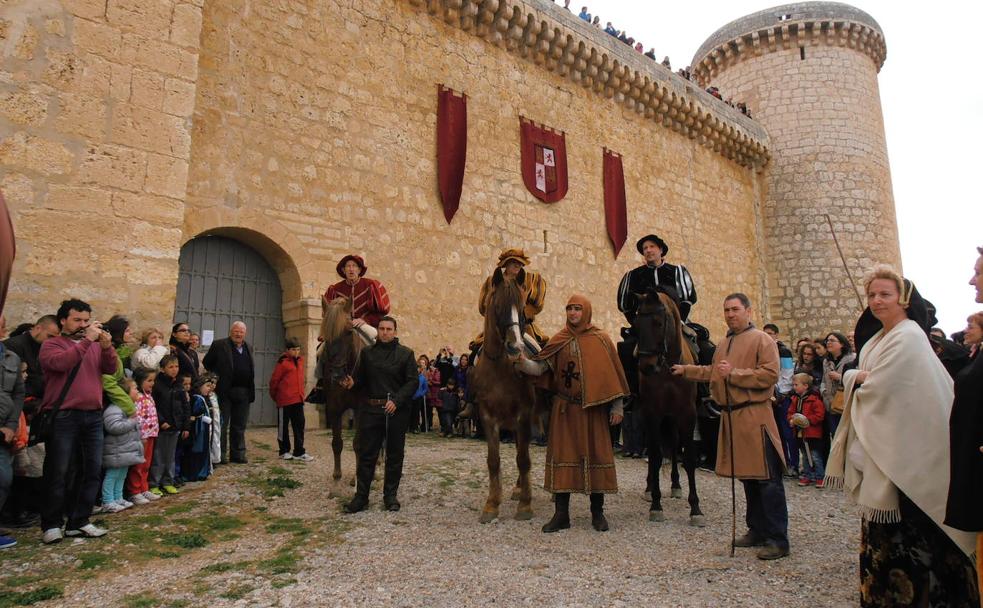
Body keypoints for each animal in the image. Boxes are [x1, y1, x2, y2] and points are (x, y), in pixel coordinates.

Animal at [318, 296, 374, 494]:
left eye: (349, 332)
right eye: (325, 335)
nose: (337, 375)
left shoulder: (361, 410)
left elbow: (358, 445)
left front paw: (357, 479)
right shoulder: (334, 408)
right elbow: (337, 443)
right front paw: (336, 478)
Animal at [470, 268, 540, 524]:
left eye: (522, 308)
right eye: (497, 306)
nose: (515, 347)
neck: (500, 367)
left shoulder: (524, 415)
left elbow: (523, 459)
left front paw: (526, 506)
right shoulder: (487, 417)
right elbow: (494, 460)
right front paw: (491, 505)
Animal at [636, 290, 704, 528]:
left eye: (658, 322)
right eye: (636, 323)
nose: (647, 366)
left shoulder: (687, 414)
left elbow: (689, 458)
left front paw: (695, 509)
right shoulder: (652, 413)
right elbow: (656, 455)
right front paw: (656, 505)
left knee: (674, 446)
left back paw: (675, 485)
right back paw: (649, 488)